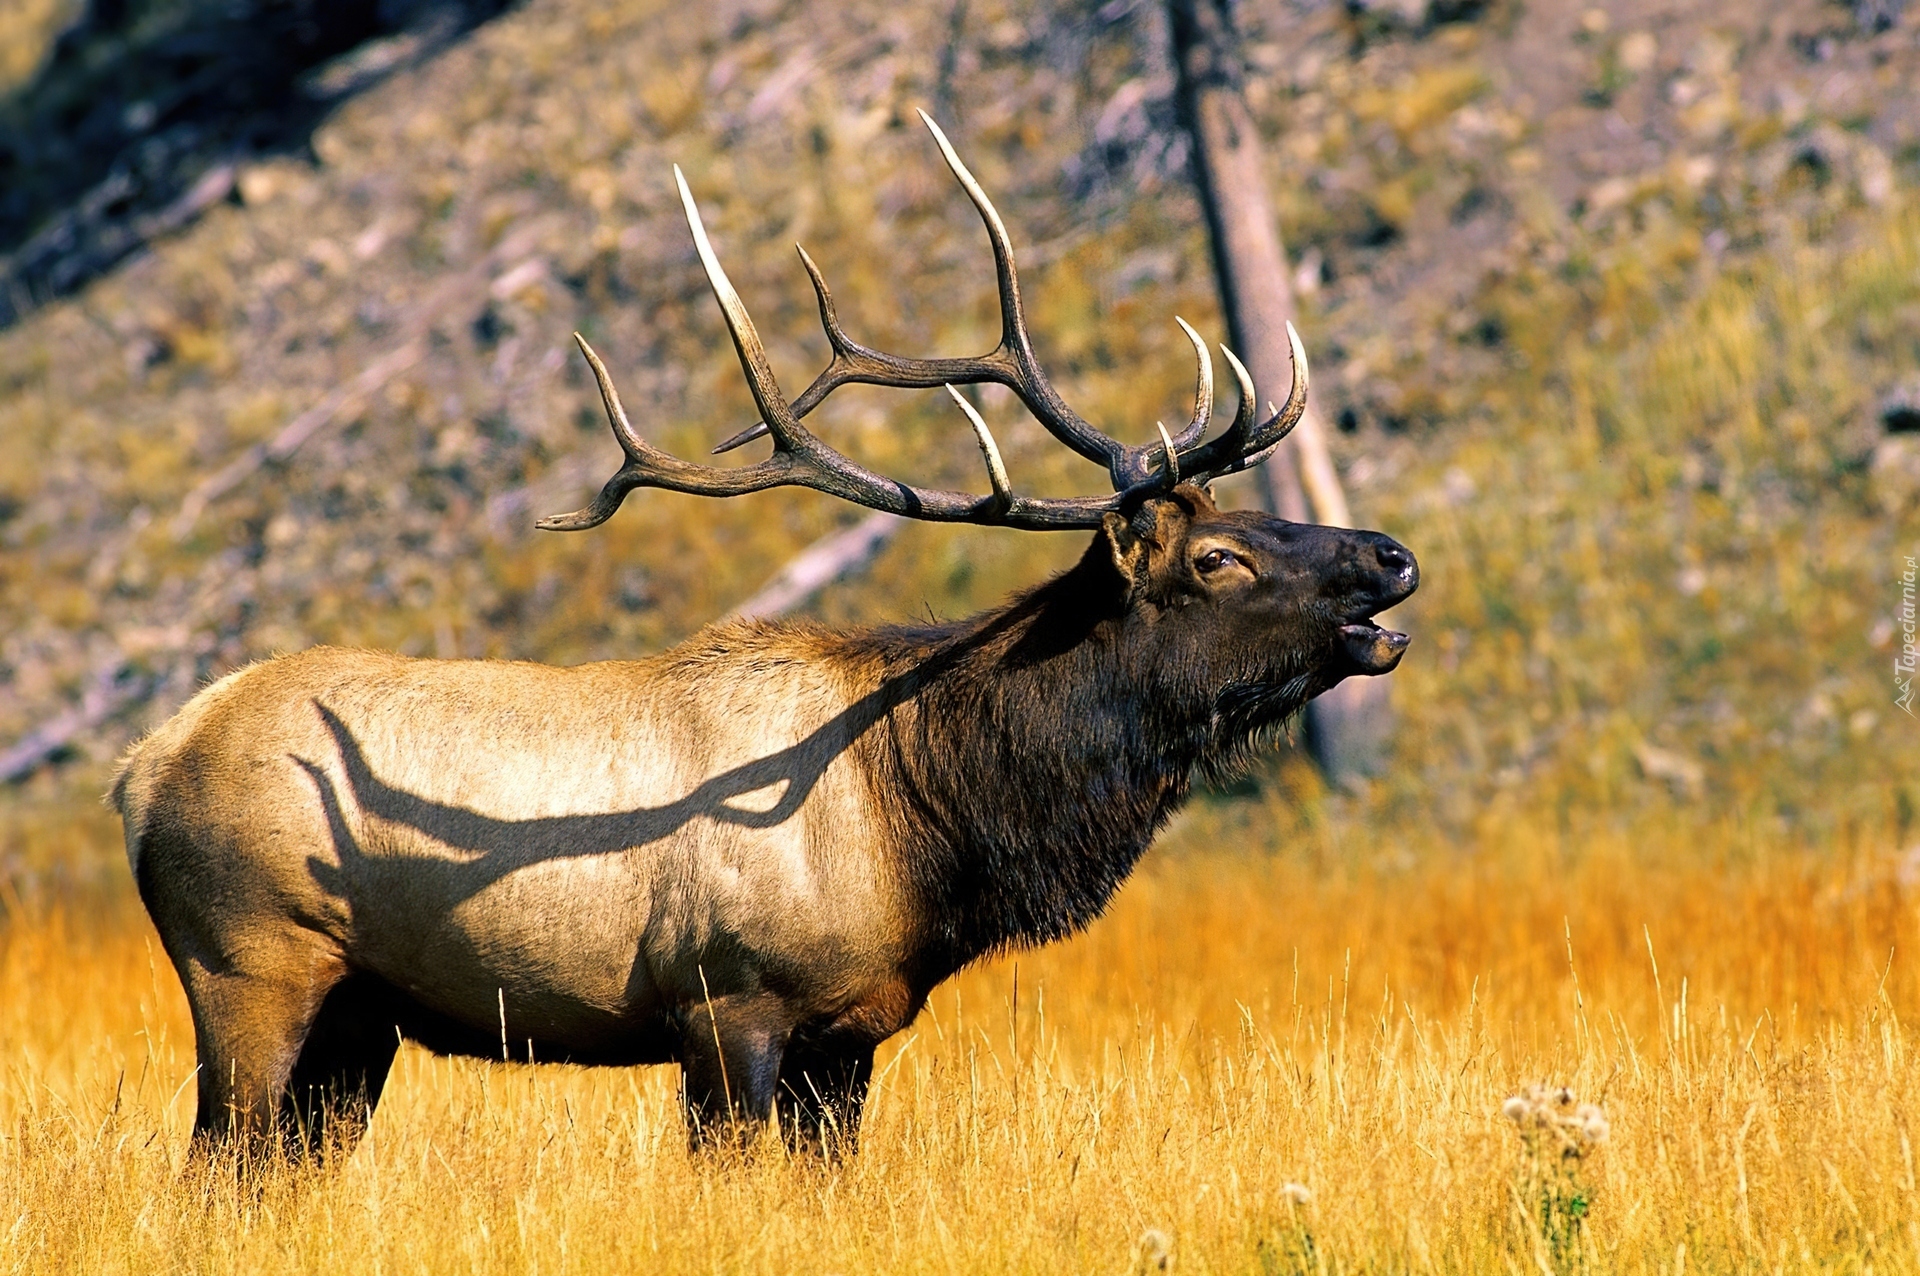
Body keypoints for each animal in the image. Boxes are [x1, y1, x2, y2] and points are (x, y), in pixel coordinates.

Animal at [112, 114, 1417, 1163]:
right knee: (217, 1165)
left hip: (359, 1013)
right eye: (1218, 557)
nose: (1393, 556)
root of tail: (143, 766)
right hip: (249, 962)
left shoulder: (853, 1029)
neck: (927, 823)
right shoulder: (726, 1000)